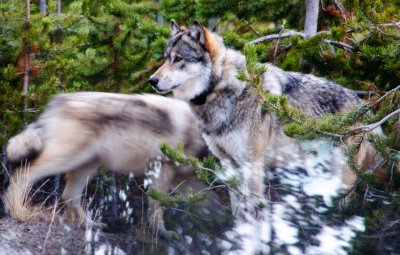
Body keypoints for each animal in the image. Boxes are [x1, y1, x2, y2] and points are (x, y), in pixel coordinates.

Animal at [4, 91, 208, 239]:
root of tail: (57, 102)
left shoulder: (188, 180)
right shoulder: (162, 172)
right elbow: (158, 208)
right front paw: (163, 234)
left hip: (87, 166)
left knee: (69, 196)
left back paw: (91, 225)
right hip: (66, 159)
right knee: (23, 174)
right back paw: (17, 210)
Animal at [150, 20, 384, 215]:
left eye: (178, 59)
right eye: (165, 59)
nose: (152, 80)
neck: (221, 88)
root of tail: (362, 105)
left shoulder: (252, 164)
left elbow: (255, 211)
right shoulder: (229, 164)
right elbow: (238, 211)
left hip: (342, 174)